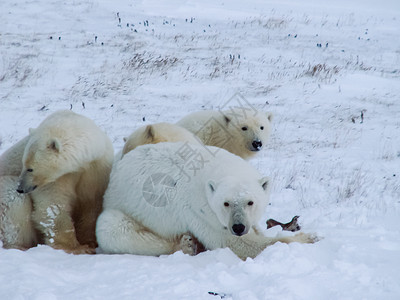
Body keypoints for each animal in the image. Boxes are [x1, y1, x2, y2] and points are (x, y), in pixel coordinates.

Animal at [1, 110, 114, 253]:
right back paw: (19, 246)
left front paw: (89, 242)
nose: (21, 188)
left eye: (30, 168)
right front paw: (75, 247)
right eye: (22, 164)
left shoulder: (96, 168)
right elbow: (53, 204)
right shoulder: (58, 178)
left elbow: (92, 203)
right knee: (13, 200)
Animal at [95, 142, 314, 258]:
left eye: (250, 202)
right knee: (112, 228)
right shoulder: (201, 212)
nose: (238, 227)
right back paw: (185, 244)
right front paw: (309, 237)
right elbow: (238, 244)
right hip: (121, 210)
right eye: (226, 203)